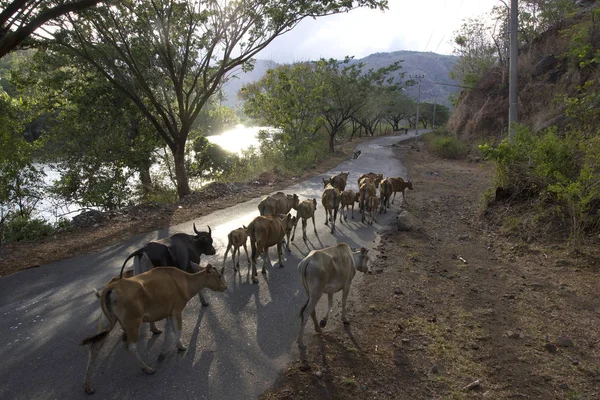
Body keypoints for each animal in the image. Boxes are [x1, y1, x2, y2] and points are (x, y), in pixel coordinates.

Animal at [81, 266, 226, 394]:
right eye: (219, 276)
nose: (225, 286)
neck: (187, 284)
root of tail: (109, 289)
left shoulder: (169, 312)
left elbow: (175, 332)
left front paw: (180, 346)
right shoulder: (177, 309)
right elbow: (179, 331)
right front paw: (163, 355)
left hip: (108, 321)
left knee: (94, 346)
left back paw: (88, 386)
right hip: (132, 321)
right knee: (131, 346)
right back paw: (147, 368)